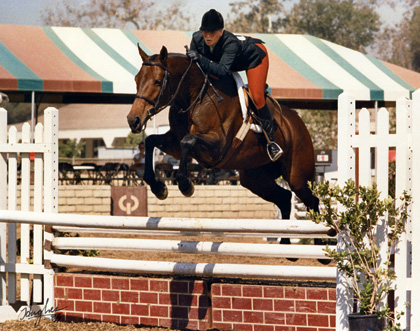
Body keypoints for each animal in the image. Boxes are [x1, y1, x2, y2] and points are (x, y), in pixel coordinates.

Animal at [126, 43, 320, 220]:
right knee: (284, 198)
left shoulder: (217, 146)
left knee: (312, 201)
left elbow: (188, 140)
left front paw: (186, 185)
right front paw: (159, 188)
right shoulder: (174, 143)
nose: (133, 120)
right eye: (136, 80)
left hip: (298, 177)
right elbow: (151, 141)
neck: (195, 98)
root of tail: (297, 122)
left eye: (157, 82)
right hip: (255, 178)